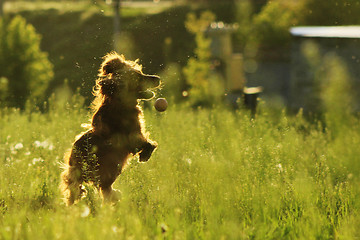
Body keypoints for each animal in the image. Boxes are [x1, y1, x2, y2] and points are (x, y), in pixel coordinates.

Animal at [60, 52, 160, 204]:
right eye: (138, 76)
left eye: (141, 72)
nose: (157, 78)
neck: (119, 103)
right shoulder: (131, 137)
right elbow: (147, 143)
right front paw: (145, 154)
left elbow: (147, 142)